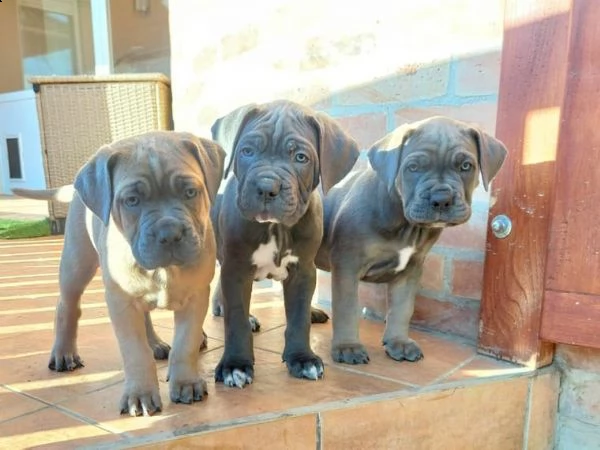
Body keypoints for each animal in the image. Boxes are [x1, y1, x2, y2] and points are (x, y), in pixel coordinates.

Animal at [14, 132, 225, 416]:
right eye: (132, 201)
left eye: (190, 192)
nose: (169, 233)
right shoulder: (120, 301)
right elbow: (135, 351)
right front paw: (140, 394)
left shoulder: (195, 296)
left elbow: (185, 343)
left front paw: (186, 382)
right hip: (76, 263)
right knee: (67, 305)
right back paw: (64, 352)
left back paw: (155, 343)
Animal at [210, 99, 358, 386]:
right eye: (247, 151)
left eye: (301, 157)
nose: (267, 187)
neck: (275, 227)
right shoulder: (236, 267)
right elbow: (236, 319)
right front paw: (235, 364)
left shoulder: (303, 270)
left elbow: (298, 319)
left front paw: (302, 358)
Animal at [314, 117, 506, 366]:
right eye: (413, 167)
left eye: (466, 166)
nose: (441, 199)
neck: (406, 224)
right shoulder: (347, 265)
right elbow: (346, 309)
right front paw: (348, 346)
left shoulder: (410, 270)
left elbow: (402, 308)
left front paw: (399, 342)